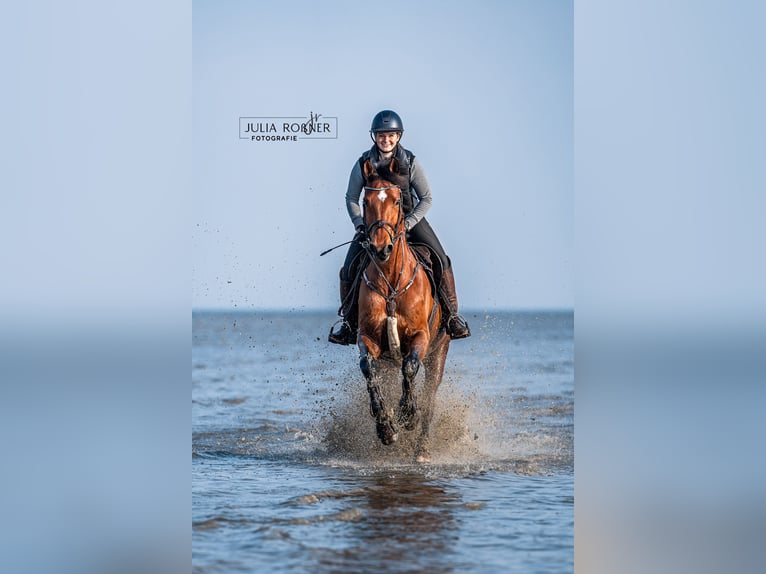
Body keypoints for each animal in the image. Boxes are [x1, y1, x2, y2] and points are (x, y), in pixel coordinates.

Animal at [355, 157, 450, 462]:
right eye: (366, 200)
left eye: (397, 201)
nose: (380, 248)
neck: (391, 284)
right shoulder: (368, 338)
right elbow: (368, 369)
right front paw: (386, 427)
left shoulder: (420, 337)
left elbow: (410, 367)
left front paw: (407, 415)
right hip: (388, 361)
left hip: (439, 351)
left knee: (430, 398)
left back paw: (422, 449)